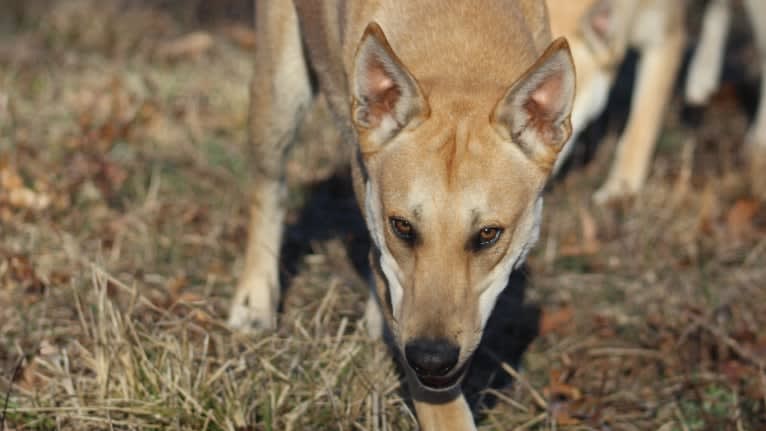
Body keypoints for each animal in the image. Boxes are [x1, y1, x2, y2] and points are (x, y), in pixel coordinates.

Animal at [228, 0, 576, 428]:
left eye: (488, 234)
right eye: (402, 226)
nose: (432, 357)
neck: (459, 47)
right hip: (280, 90)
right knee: (268, 190)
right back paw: (253, 304)